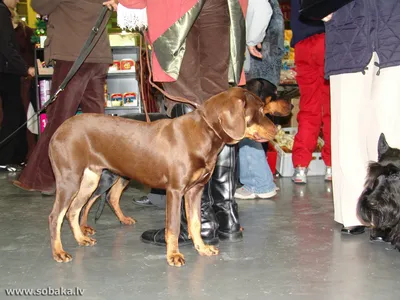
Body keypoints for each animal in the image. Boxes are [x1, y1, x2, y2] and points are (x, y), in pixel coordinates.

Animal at [48, 87, 290, 268]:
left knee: (74, 210)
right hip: (70, 179)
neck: (203, 133)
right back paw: (59, 252)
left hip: (90, 179)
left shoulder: (195, 190)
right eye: (260, 109)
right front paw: (173, 255)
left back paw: (81, 238)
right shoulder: (175, 190)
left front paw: (202, 247)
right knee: (56, 216)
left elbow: (194, 222)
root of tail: (57, 131)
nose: (277, 130)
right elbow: (173, 226)